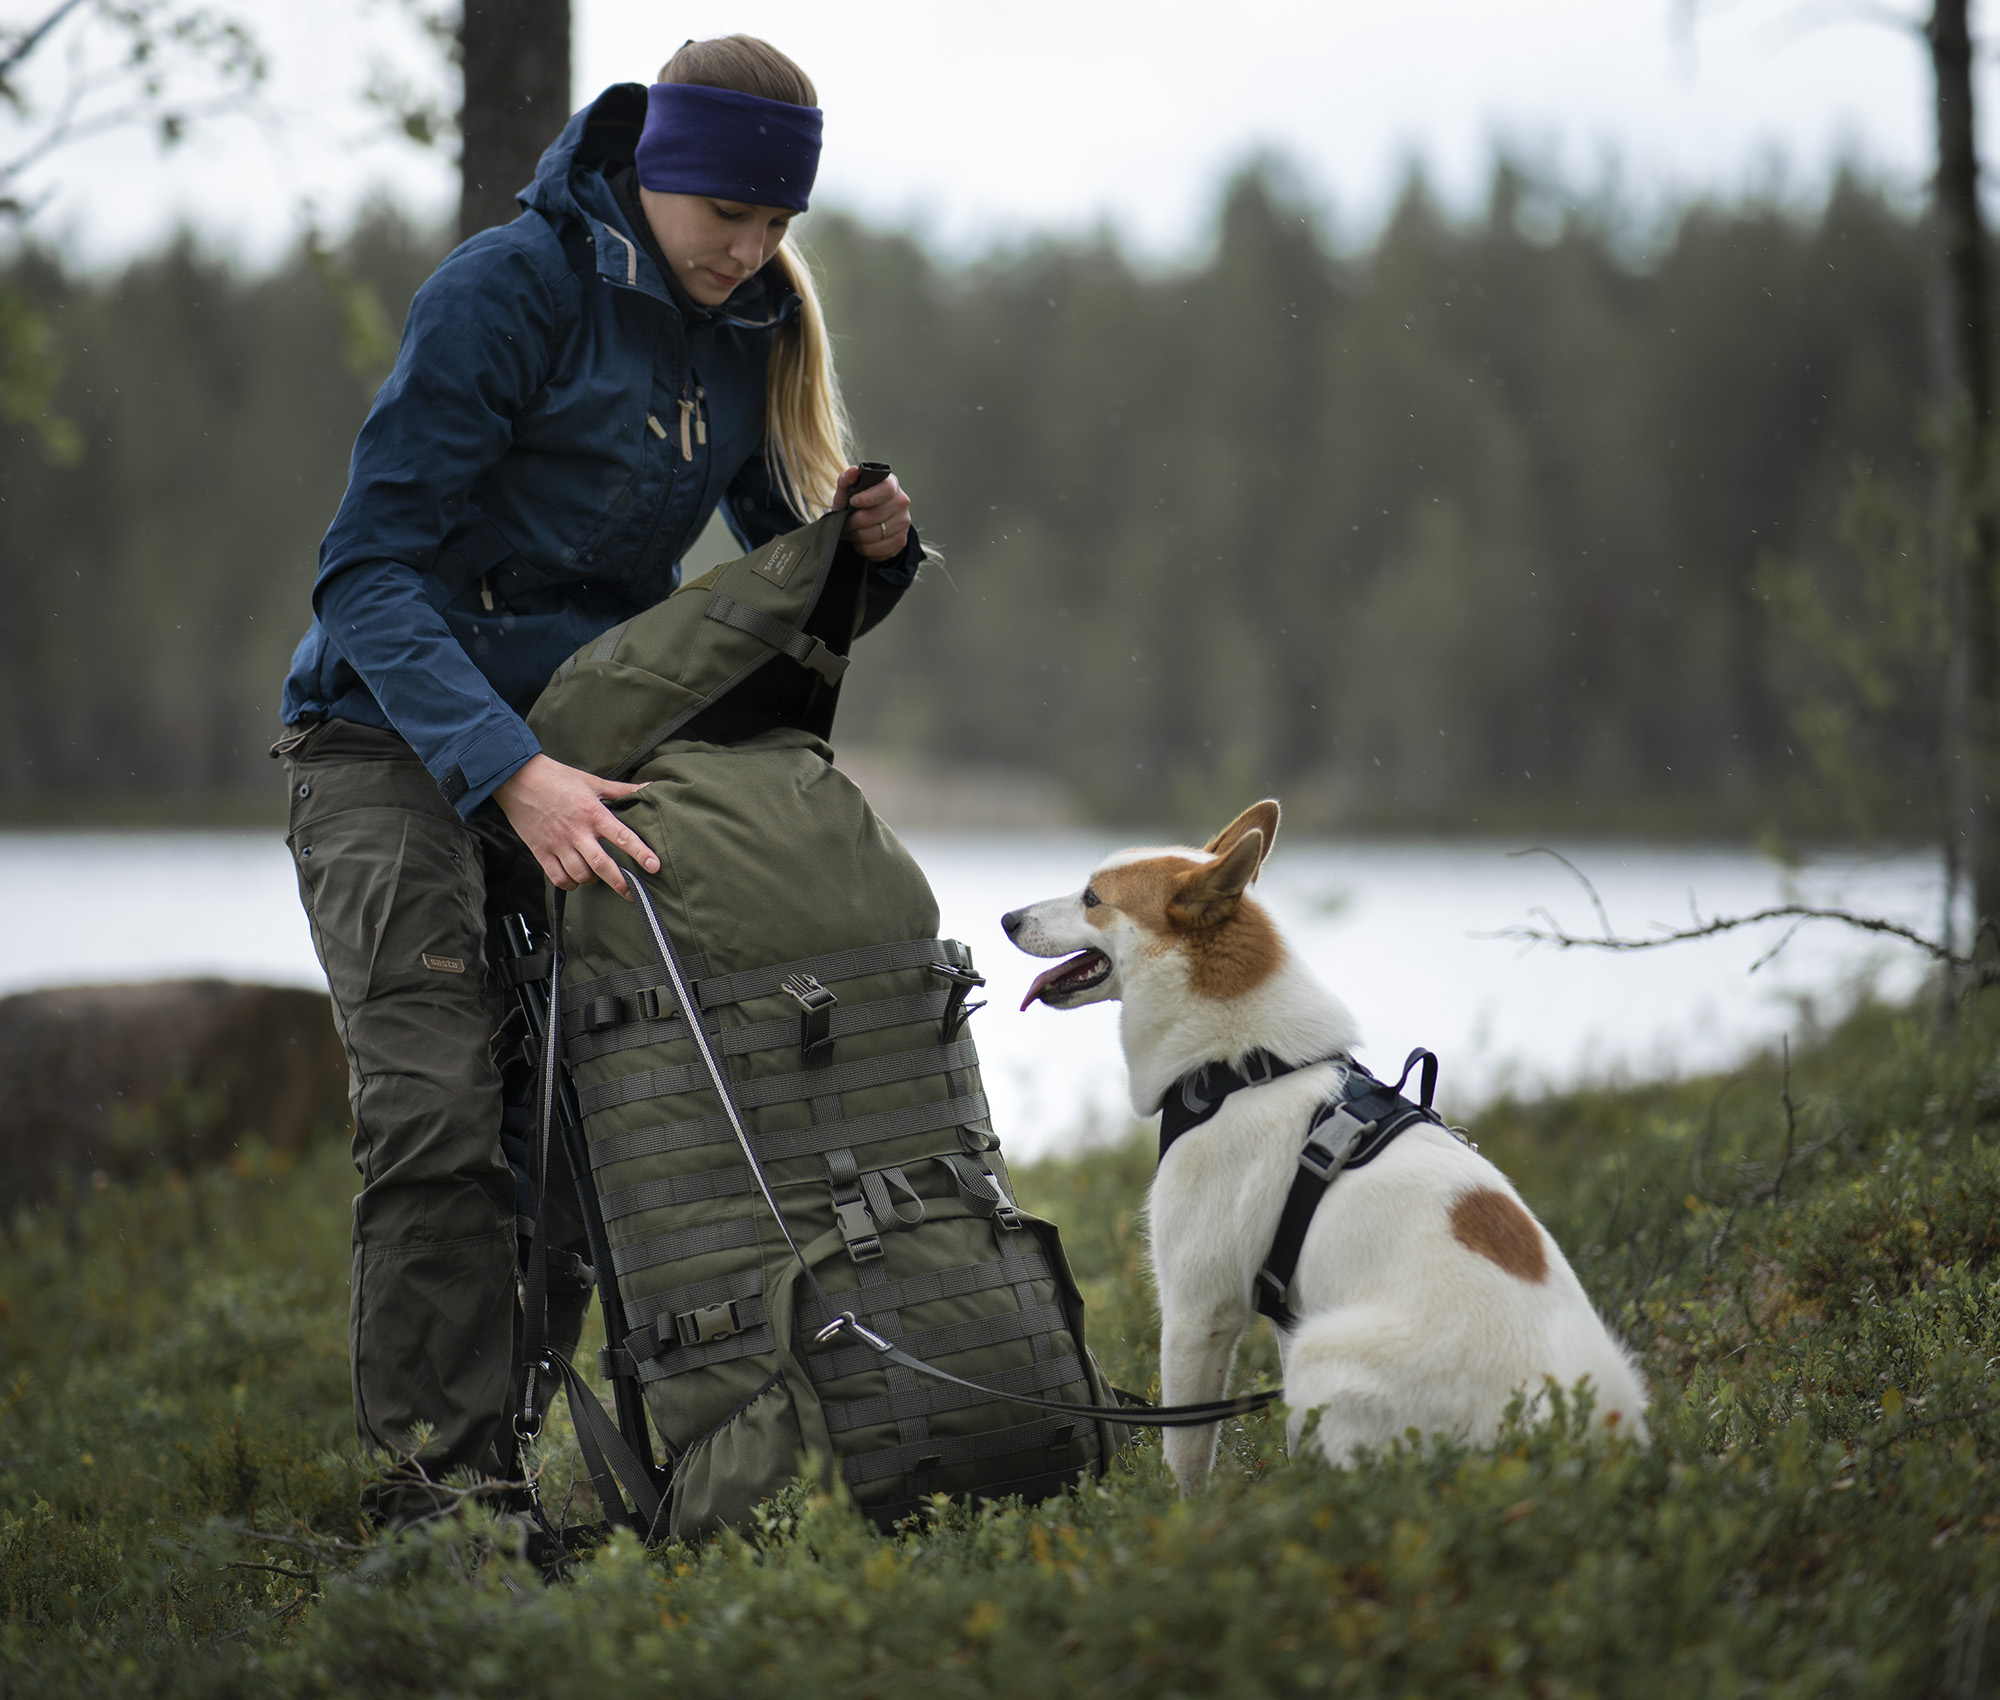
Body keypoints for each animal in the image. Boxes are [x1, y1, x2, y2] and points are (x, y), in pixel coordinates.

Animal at [1000, 800, 1640, 1488]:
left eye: (1093, 898)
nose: (1006, 919)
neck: (1243, 1068)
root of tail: (1575, 1438)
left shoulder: (1198, 1314)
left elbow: (1185, 1460)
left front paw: (1178, 1512)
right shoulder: (1287, 1311)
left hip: (1324, 1351)